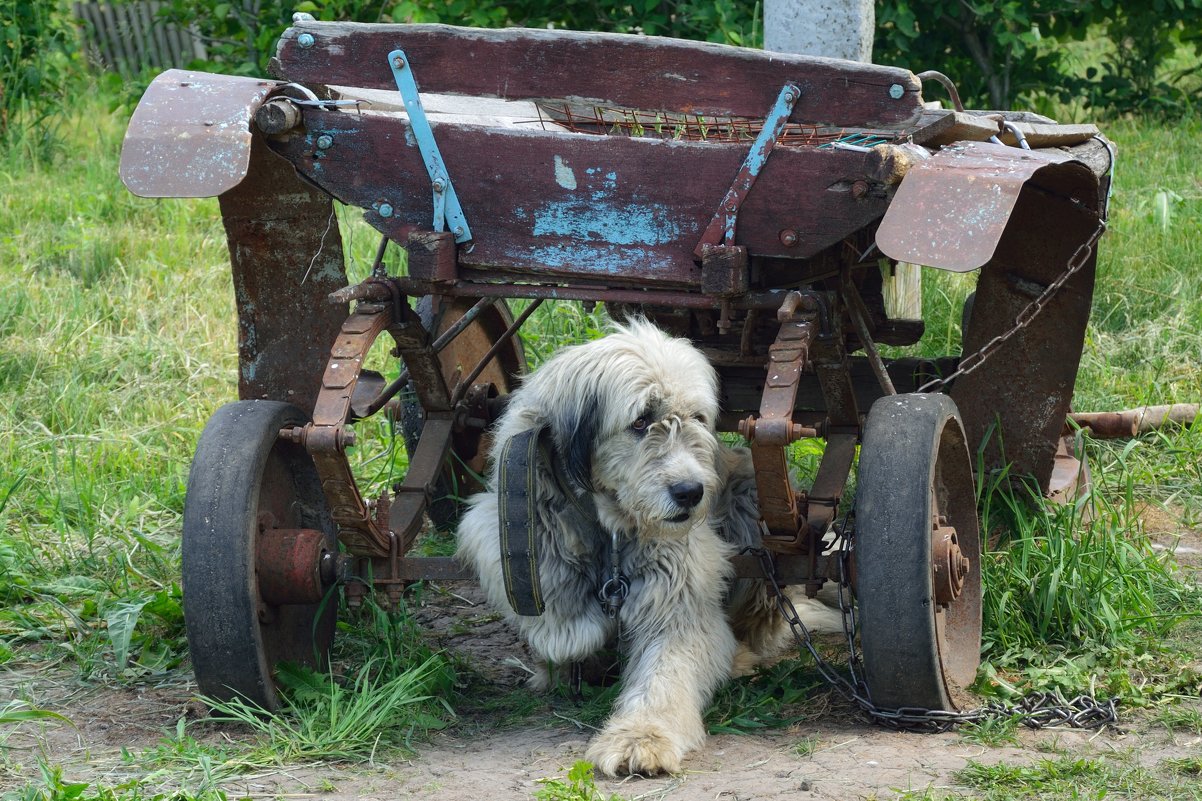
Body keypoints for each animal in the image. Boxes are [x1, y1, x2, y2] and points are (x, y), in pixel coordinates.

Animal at [451, 317, 836, 774]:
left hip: (753, 506)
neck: (613, 531)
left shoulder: (680, 596)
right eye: (640, 421)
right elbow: (561, 623)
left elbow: (665, 675)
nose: (691, 492)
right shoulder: (503, 533)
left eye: (697, 417)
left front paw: (642, 736)